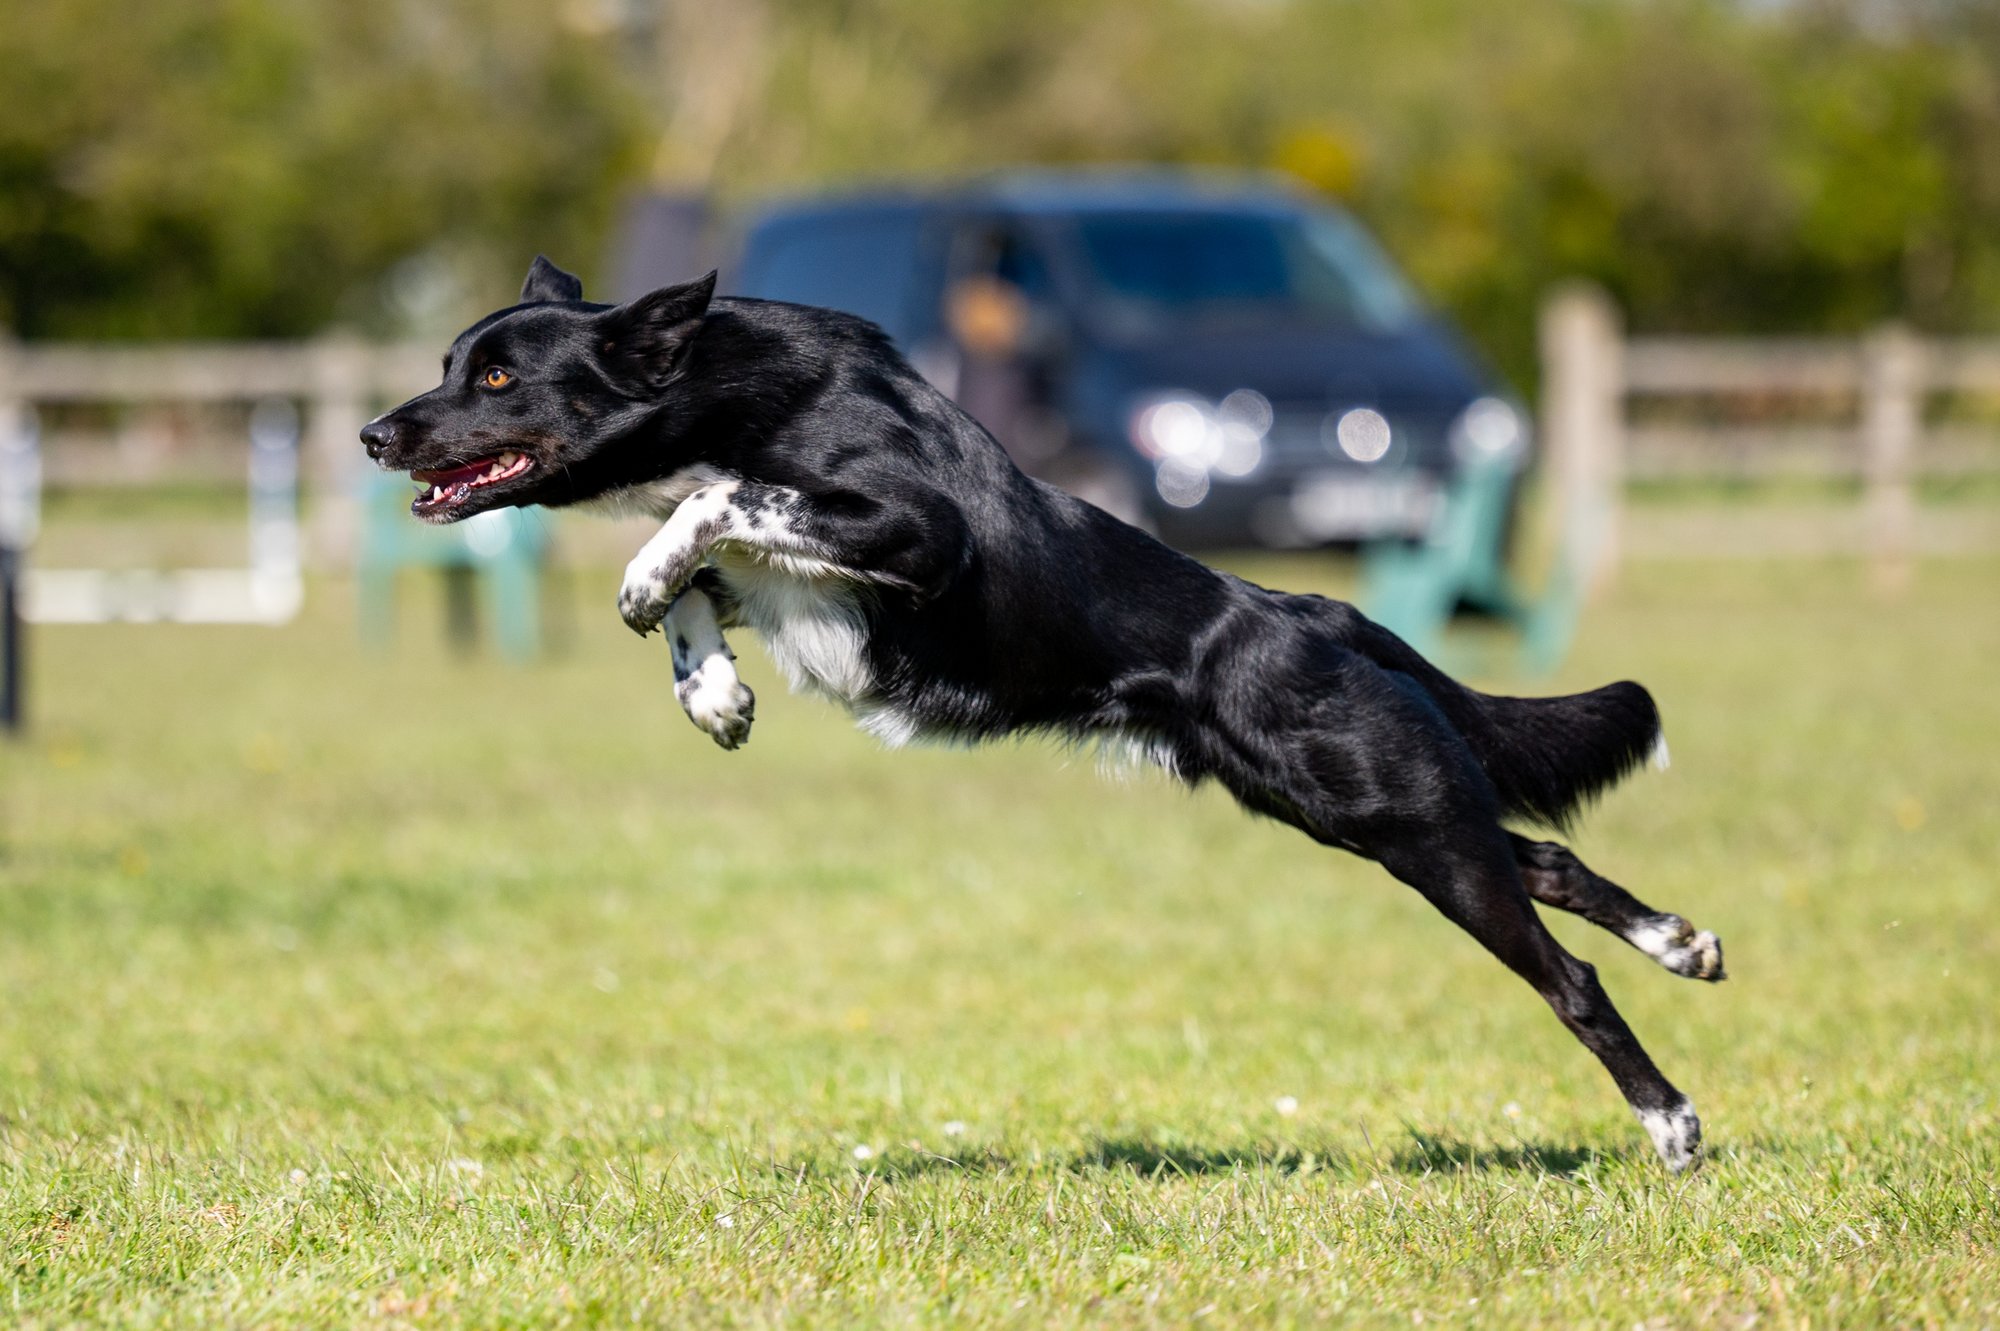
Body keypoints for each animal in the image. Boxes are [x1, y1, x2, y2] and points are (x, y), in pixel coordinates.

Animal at [368, 253, 1728, 1167]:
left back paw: (1671, 1120)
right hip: (1359, 803)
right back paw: (1682, 941)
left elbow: (715, 507)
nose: (379, 433)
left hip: (1392, 812)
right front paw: (710, 688)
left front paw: (647, 584)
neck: (730, 389)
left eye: (497, 375)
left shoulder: (912, 532)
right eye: (448, 362)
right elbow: (707, 574)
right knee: (1543, 852)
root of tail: (1308, 609)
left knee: (1563, 970)